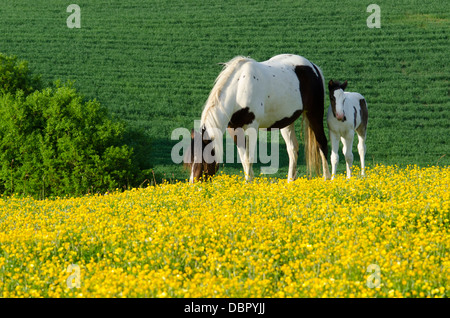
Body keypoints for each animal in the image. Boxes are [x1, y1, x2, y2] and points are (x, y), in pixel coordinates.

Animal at [185, 53, 330, 183]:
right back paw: (290, 182)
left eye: (203, 160)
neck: (238, 89)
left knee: (321, 142)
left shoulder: (251, 127)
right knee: (293, 149)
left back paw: (327, 179)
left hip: (314, 112)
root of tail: (313, 67)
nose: (194, 184)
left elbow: (249, 158)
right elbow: (243, 158)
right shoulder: (234, 129)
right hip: (287, 121)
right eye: (190, 161)